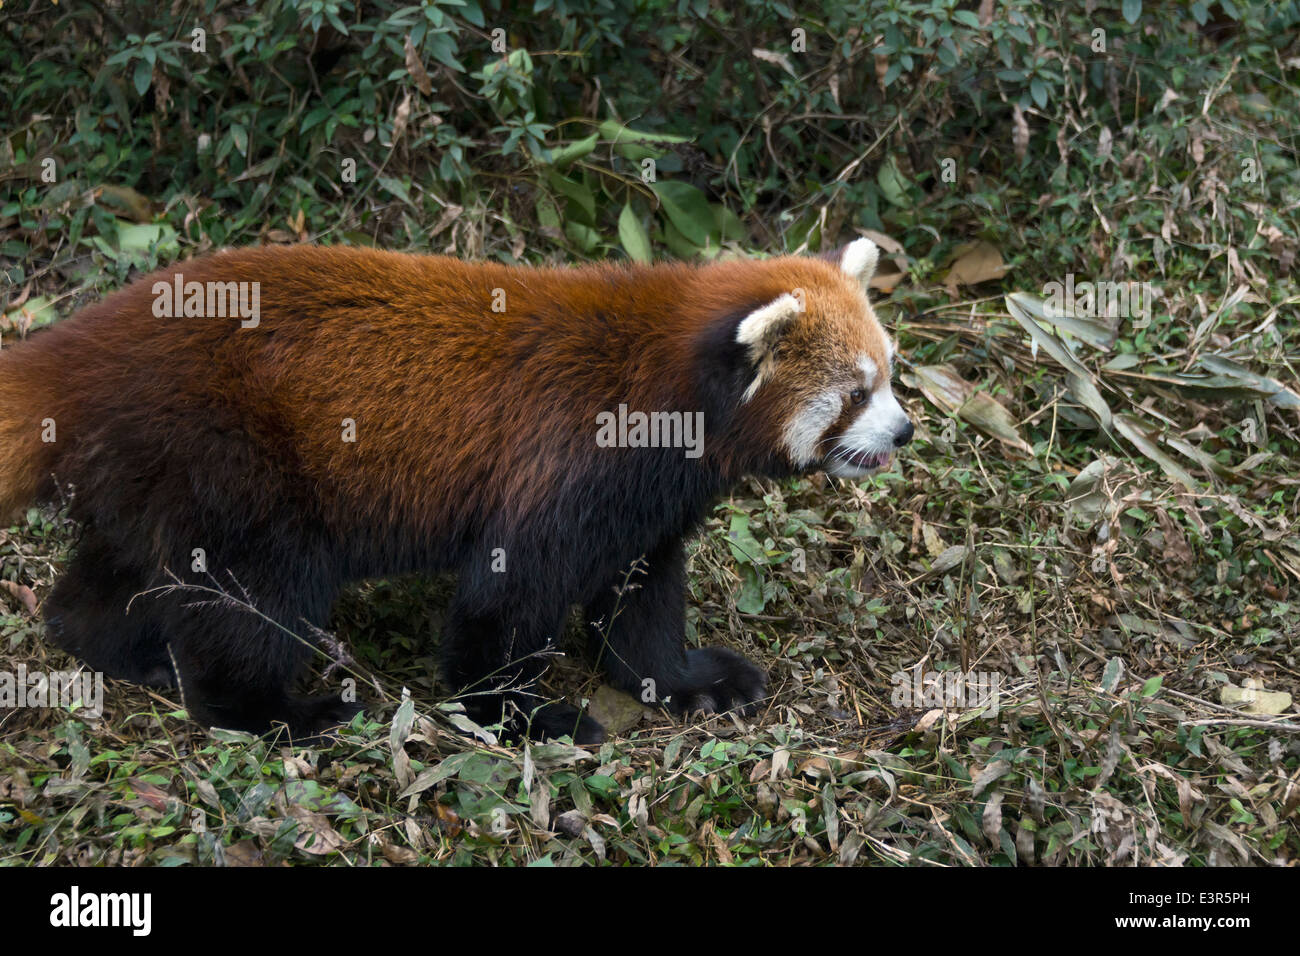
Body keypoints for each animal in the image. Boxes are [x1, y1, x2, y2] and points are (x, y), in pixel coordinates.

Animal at [0, 238, 909, 738]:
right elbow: (505, 599)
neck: (673, 384)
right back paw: (276, 711)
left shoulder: (648, 505)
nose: (902, 431)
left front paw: (688, 681)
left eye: (892, 374)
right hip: (232, 461)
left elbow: (640, 600)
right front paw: (518, 714)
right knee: (256, 594)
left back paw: (123, 649)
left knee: (114, 576)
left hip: (149, 472)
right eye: (856, 392)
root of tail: (79, 348)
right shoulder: (570, 462)